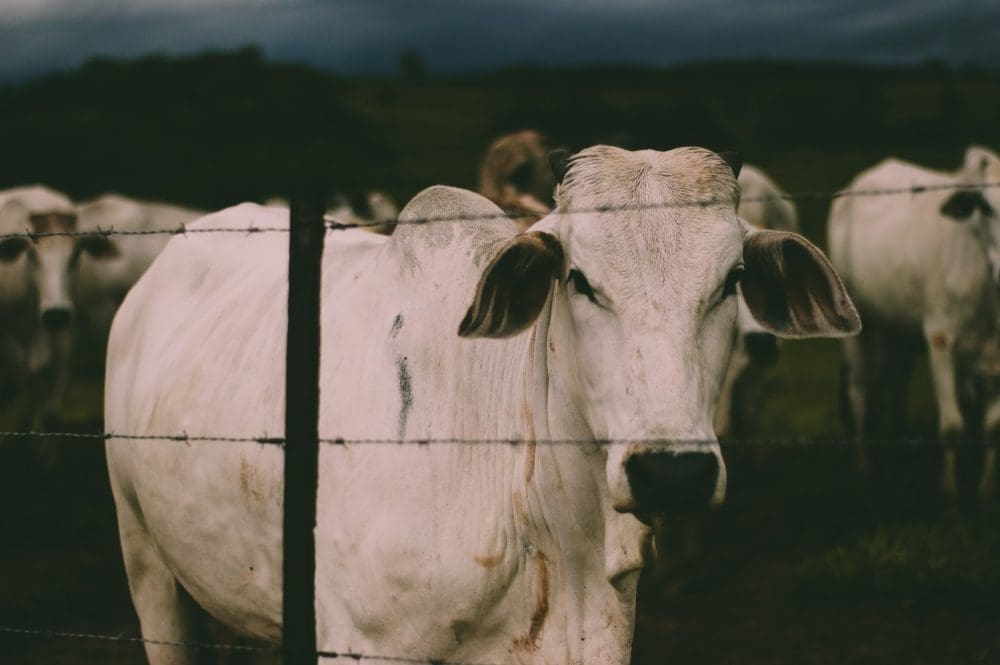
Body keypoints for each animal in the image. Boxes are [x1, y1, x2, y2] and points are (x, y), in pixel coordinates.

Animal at [828, 145, 1000, 498]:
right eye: (987, 206)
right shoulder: (940, 338)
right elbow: (952, 426)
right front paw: (950, 493)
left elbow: (992, 427)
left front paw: (987, 488)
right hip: (856, 329)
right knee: (859, 390)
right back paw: (864, 467)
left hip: (899, 330)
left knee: (895, 381)